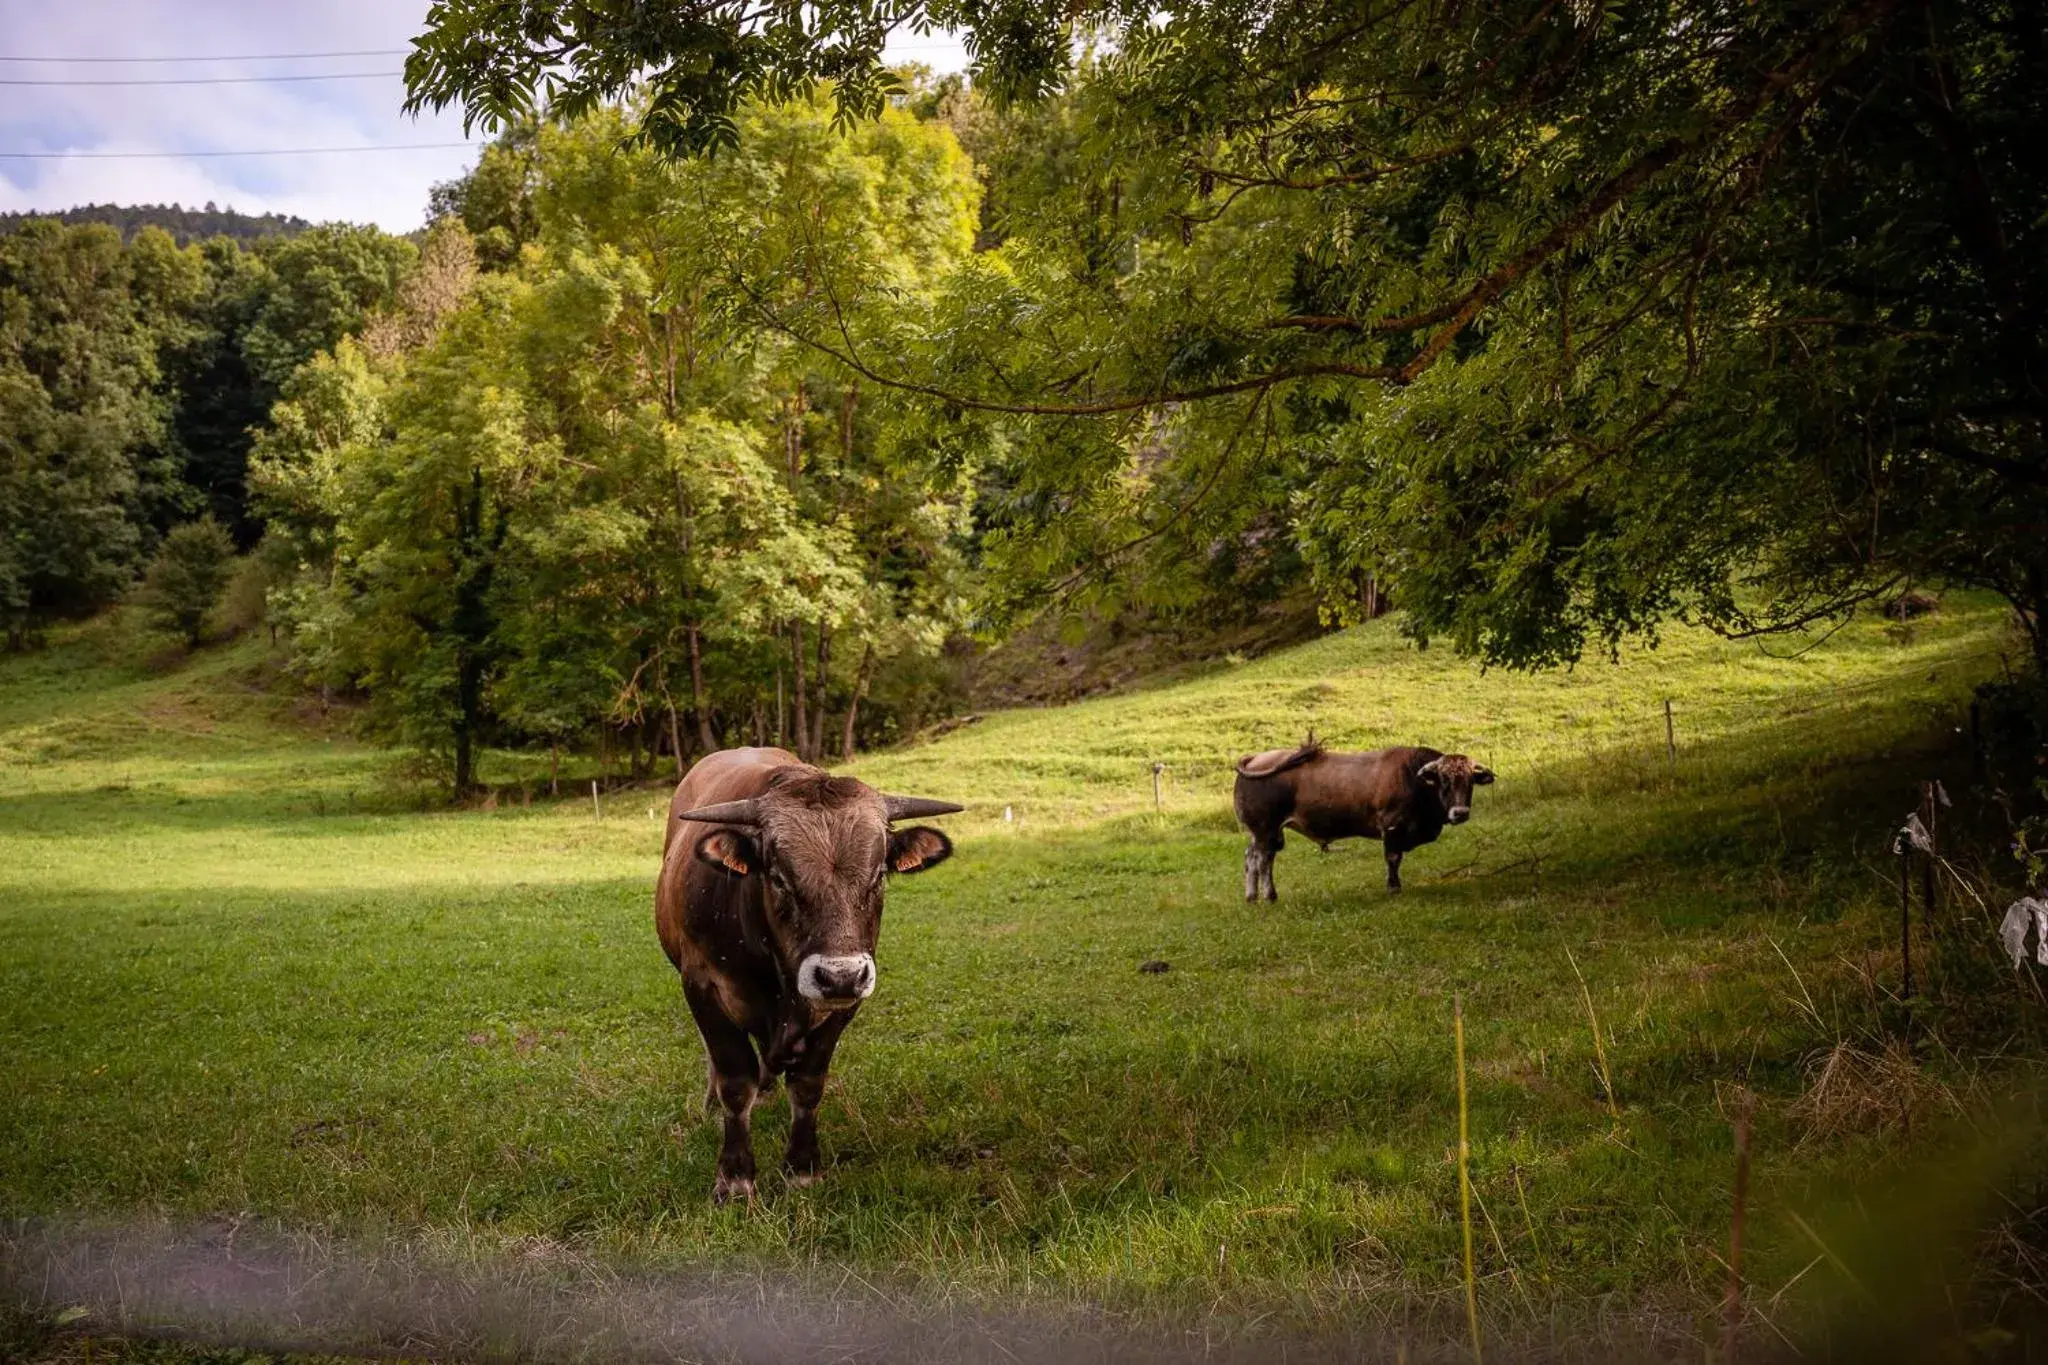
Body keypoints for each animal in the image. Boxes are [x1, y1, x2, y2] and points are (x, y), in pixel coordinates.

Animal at [663, 749, 966, 1203]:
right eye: (778, 877)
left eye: (879, 875)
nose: (838, 976)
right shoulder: (703, 987)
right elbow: (734, 1081)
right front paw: (735, 1177)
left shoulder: (844, 1001)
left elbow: (807, 1084)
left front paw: (802, 1168)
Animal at [1220, 740, 1499, 900]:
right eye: (1444, 780)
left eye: (1470, 781)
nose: (1460, 812)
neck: (1414, 777)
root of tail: (1255, 759)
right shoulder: (1392, 827)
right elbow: (1393, 858)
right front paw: (1393, 887)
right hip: (1265, 830)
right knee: (1264, 861)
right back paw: (1269, 895)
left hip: (1261, 833)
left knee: (1250, 858)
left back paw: (1251, 896)